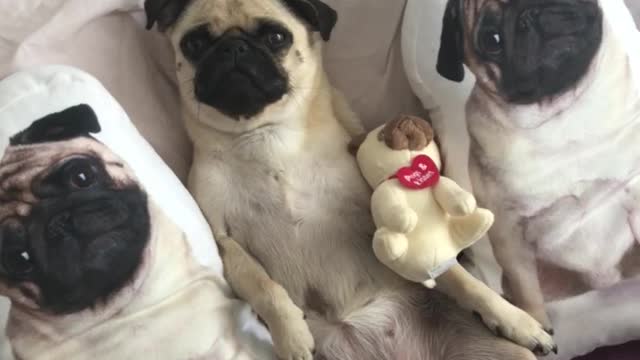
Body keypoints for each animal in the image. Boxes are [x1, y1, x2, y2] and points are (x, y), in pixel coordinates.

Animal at [144, 0, 556, 358]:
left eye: (276, 37)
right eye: (194, 43)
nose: (233, 48)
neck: (265, 139)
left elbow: (460, 279)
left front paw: (514, 318)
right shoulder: (226, 243)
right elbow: (265, 288)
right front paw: (292, 337)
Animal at [438, 0, 640, 352]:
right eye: (492, 40)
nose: (531, 14)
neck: (561, 116)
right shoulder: (508, 234)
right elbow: (526, 290)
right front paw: (534, 325)